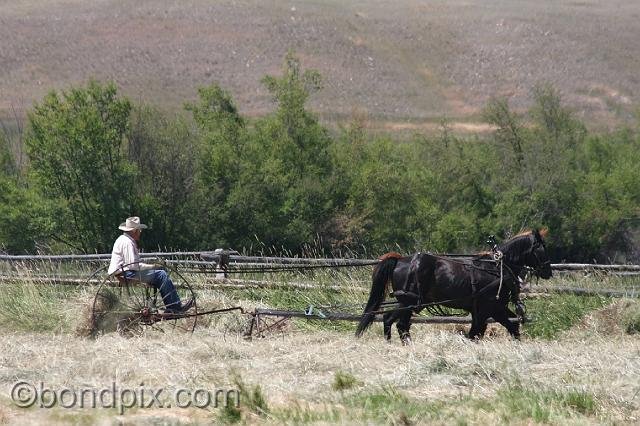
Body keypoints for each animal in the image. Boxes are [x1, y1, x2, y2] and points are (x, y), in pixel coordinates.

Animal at [358, 230, 552, 342]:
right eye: (541, 249)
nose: (548, 272)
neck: (497, 268)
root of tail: (400, 260)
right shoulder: (488, 308)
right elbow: (476, 333)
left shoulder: (494, 308)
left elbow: (511, 327)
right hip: (409, 301)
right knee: (394, 321)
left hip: (408, 303)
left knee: (395, 322)